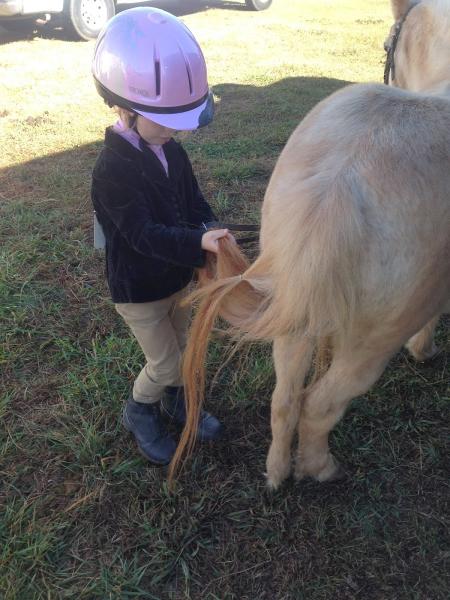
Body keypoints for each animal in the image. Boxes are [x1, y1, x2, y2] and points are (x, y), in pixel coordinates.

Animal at [170, 0, 450, 488]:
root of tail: (342, 178)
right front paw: (425, 349)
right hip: (373, 340)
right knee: (320, 406)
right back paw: (320, 469)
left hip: (294, 309)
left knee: (285, 401)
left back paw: (277, 473)